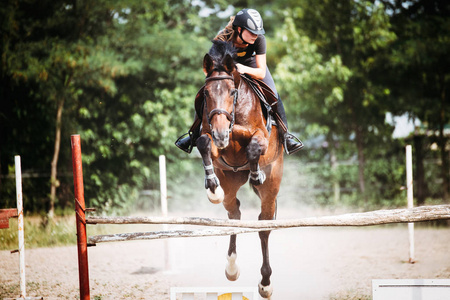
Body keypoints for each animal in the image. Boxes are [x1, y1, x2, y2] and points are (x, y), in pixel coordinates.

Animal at [195, 41, 284, 298]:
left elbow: (254, 147)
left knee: (264, 227)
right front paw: (211, 188)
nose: (221, 133)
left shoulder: (262, 137)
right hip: (231, 180)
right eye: (206, 93)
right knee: (234, 213)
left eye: (232, 92)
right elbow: (203, 143)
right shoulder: (215, 143)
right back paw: (232, 268)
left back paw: (265, 283)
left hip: (272, 187)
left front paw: (256, 174)